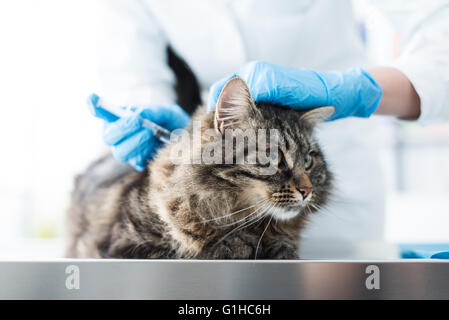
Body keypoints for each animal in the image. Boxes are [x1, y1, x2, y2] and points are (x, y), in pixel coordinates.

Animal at [66, 77, 332, 260]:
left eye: (308, 161)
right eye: (272, 157)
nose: (307, 191)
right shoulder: (124, 245)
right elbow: (200, 250)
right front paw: (235, 245)